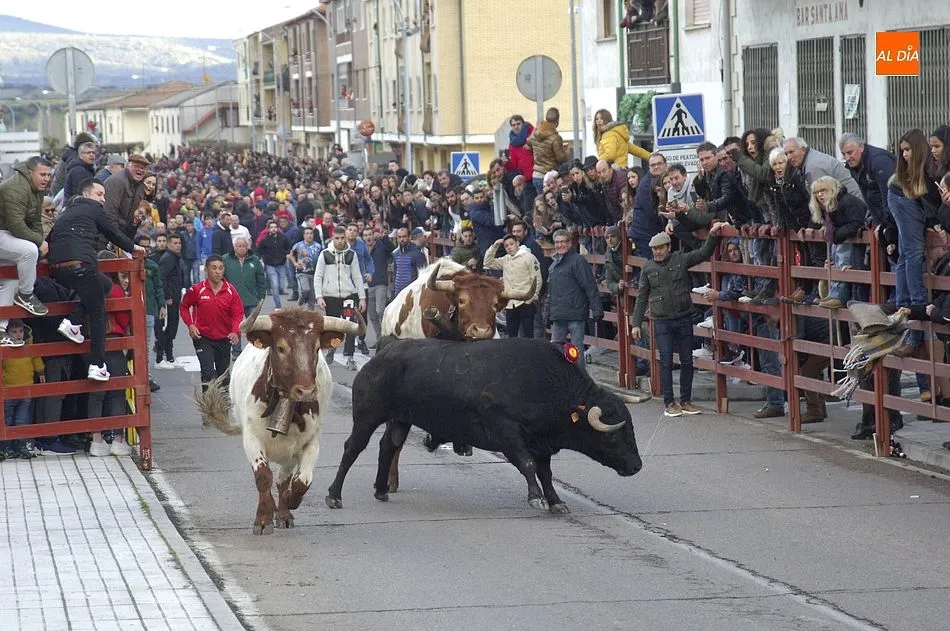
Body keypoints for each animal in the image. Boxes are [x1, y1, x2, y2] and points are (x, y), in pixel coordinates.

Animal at [197, 302, 365, 535]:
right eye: (281, 347)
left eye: (316, 348)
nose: (306, 391)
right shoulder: (251, 439)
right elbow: (263, 477)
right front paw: (263, 519)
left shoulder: (311, 442)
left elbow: (300, 482)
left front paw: (289, 503)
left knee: (283, 479)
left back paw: (284, 513)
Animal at [325, 337, 643, 514]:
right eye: (614, 436)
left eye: (631, 429)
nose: (636, 466)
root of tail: (380, 355)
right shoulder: (506, 432)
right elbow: (528, 465)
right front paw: (536, 499)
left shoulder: (541, 444)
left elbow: (546, 473)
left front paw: (555, 502)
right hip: (367, 416)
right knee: (352, 448)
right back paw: (334, 496)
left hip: (400, 420)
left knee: (387, 448)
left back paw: (381, 490)